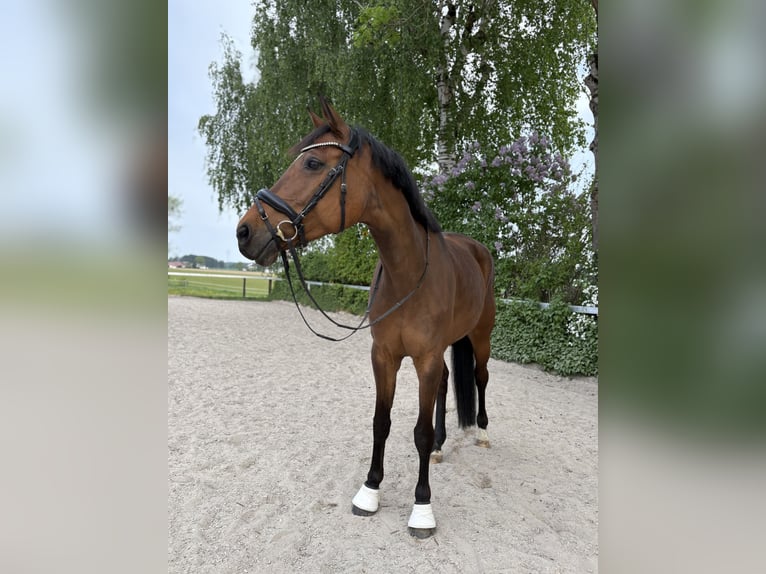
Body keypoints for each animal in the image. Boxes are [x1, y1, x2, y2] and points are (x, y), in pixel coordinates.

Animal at [236, 98, 495, 538]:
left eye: (313, 164)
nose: (245, 231)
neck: (409, 272)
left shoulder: (424, 359)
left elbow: (419, 431)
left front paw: (422, 507)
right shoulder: (384, 357)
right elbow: (381, 422)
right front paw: (370, 491)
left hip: (481, 336)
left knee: (479, 377)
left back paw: (480, 433)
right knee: (447, 382)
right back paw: (442, 446)